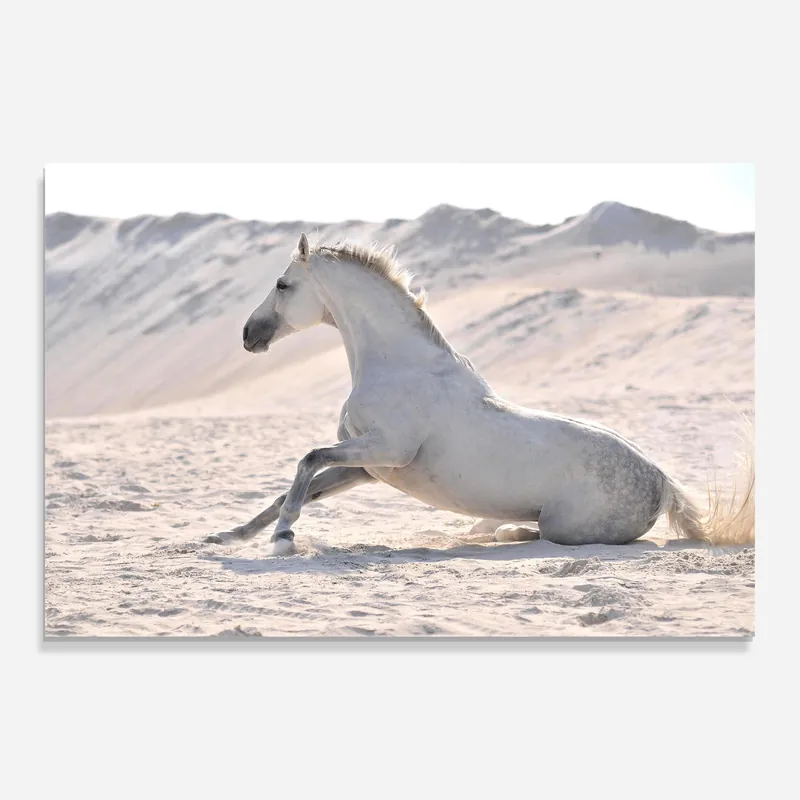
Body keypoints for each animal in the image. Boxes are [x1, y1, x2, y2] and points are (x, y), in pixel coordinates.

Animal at [206, 234, 754, 555]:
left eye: (282, 284)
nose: (249, 335)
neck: (399, 365)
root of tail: (663, 480)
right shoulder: (367, 466)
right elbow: (295, 484)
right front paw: (230, 535)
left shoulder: (386, 450)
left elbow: (306, 460)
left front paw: (283, 538)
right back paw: (486, 531)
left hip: (568, 527)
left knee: (539, 533)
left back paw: (497, 533)